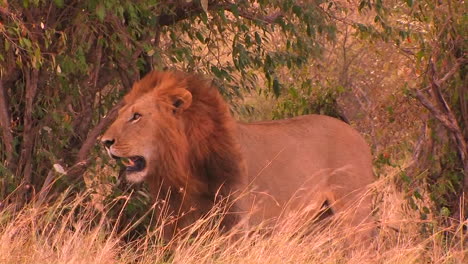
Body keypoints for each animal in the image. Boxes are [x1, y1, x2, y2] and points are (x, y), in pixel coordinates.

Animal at [102, 70, 376, 243]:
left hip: (355, 212)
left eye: (136, 116)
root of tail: (359, 136)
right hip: (321, 218)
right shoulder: (177, 224)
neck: (182, 172)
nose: (105, 142)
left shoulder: (234, 225)